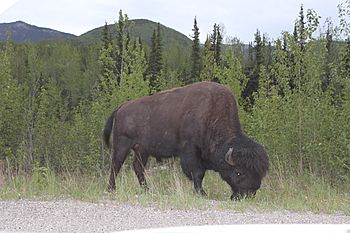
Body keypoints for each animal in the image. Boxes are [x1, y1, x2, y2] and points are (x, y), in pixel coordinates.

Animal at [102, 81, 270, 199]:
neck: (210, 116)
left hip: (142, 150)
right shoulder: (190, 152)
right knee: (116, 165)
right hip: (122, 145)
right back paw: (111, 189)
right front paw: (201, 193)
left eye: (259, 173)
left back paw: (147, 190)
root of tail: (122, 106)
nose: (249, 193)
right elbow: (197, 173)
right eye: (239, 172)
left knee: (138, 167)